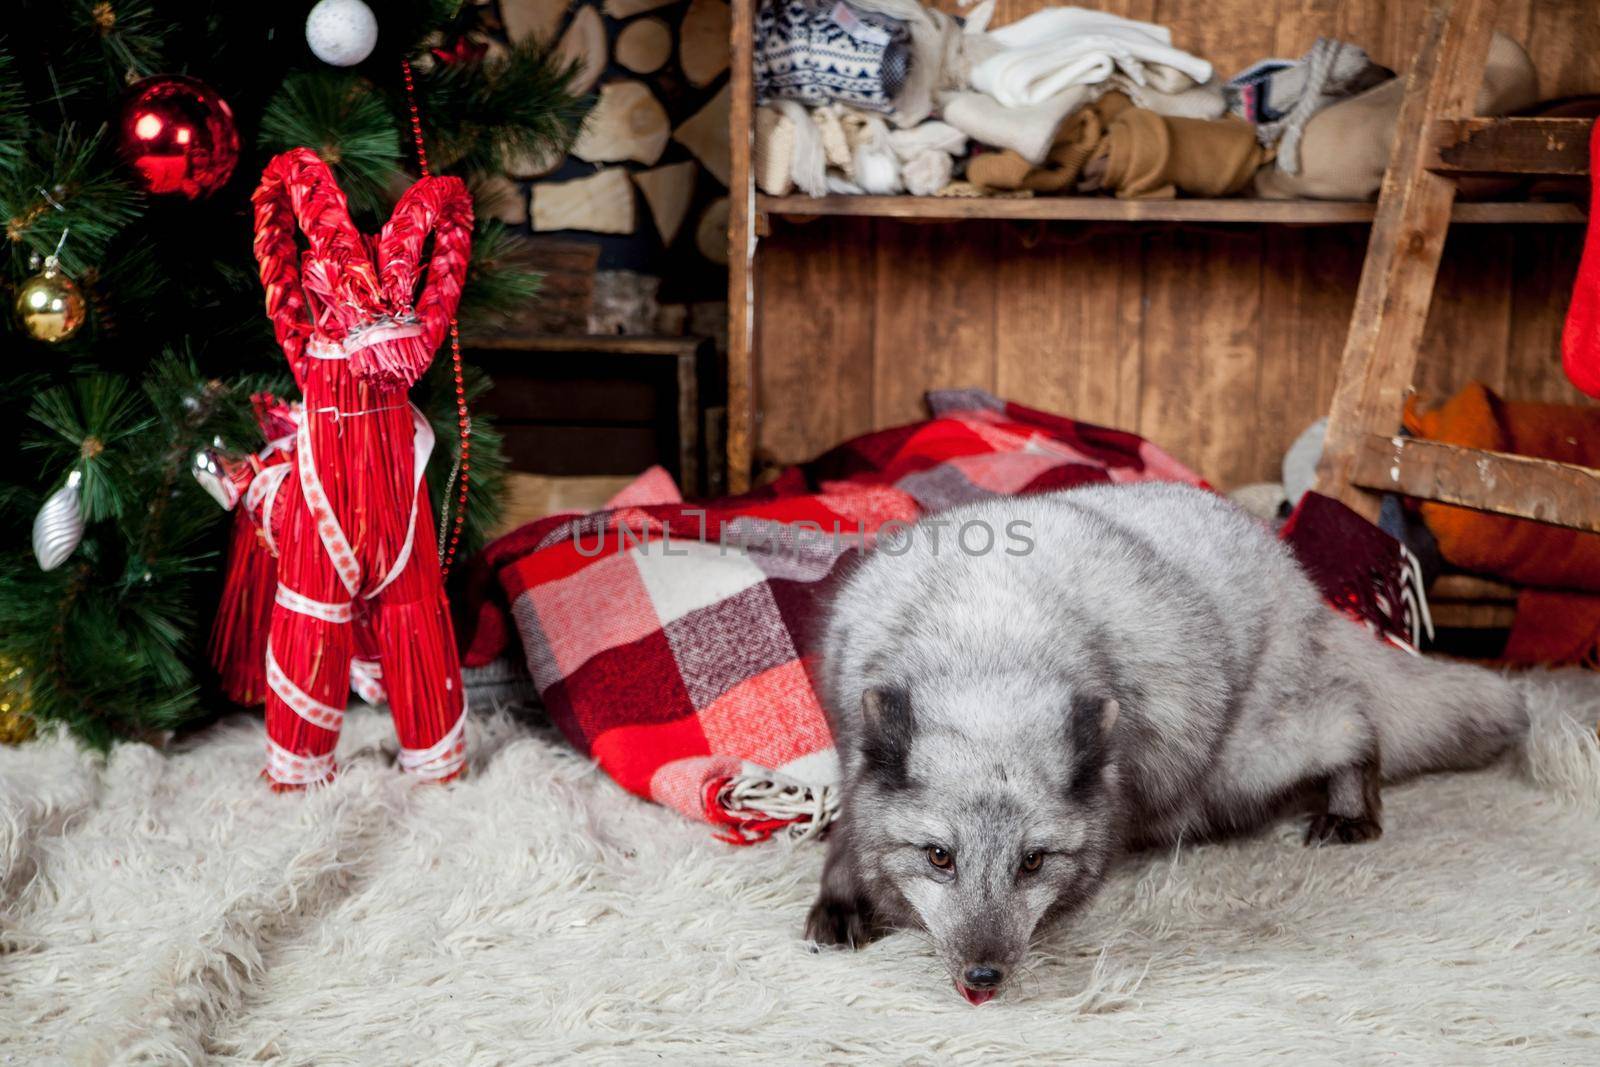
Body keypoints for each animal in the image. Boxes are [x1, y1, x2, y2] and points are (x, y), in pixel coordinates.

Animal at [812, 479, 1523, 1004]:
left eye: (1033, 862)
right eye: (939, 857)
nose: (983, 977)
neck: (985, 651)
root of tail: (1296, 574)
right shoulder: (852, 748)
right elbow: (846, 834)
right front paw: (843, 899)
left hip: (1250, 761)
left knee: (1353, 715)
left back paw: (1351, 808)